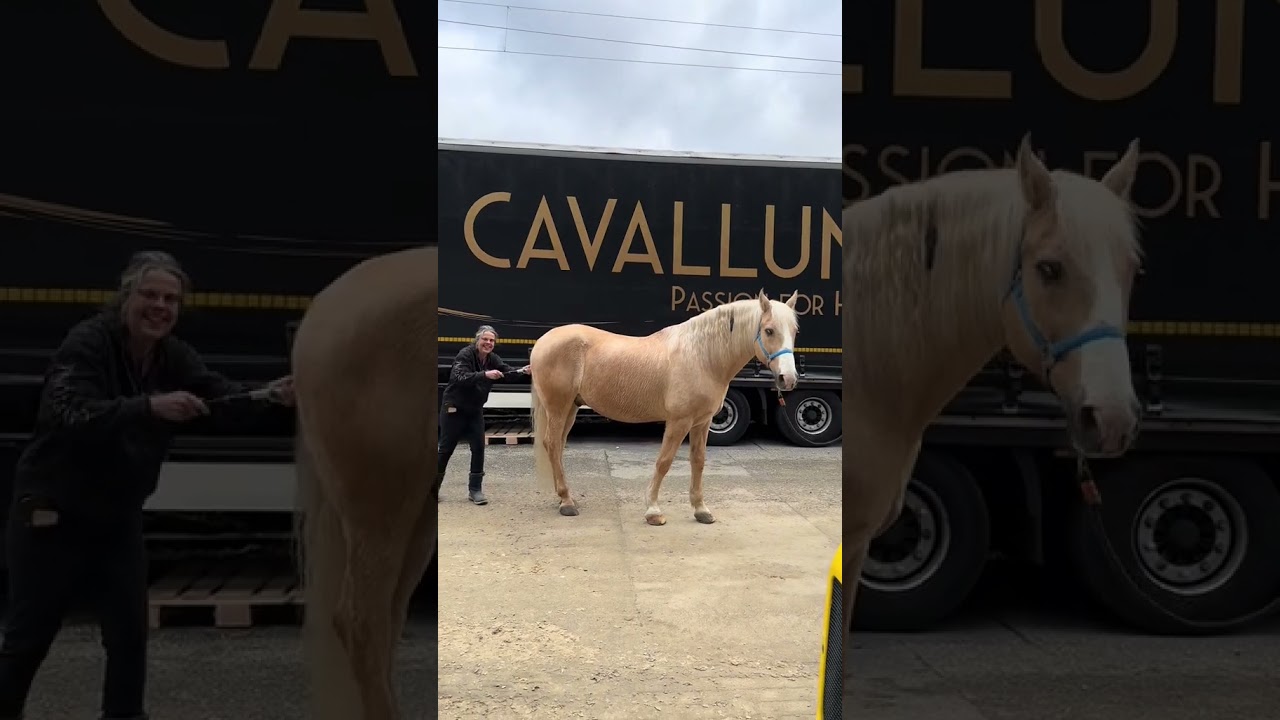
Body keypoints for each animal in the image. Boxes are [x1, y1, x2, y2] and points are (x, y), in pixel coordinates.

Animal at [529, 290, 800, 525]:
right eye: (769, 330)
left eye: (794, 331)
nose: (788, 378)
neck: (701, 356)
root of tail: (543, 341)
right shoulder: (679, 421)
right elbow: (664, 461)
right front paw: (653, 511)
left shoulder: (702, 422)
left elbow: (698, 461)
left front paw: (701, 510)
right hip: (558, 407)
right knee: (552, 444)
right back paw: (566, 502)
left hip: (571, 408)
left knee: (558, 446)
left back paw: (564, 498)